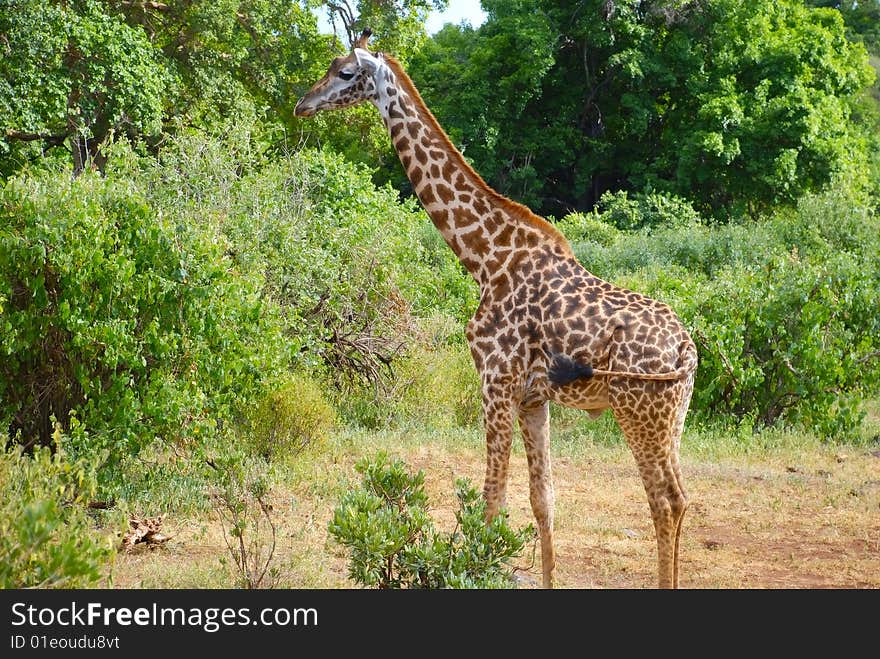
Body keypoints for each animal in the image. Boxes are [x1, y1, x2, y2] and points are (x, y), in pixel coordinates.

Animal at [294, 31, 696, 592]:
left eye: (346, 73)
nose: (302, 104)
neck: (484, 258)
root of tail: (686, 350)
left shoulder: (495, 380)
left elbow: (491, 503)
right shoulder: (533, 398)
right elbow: (543, 500)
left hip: (639, 411)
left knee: (664, 501)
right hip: (673, 416)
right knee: (679, 499)